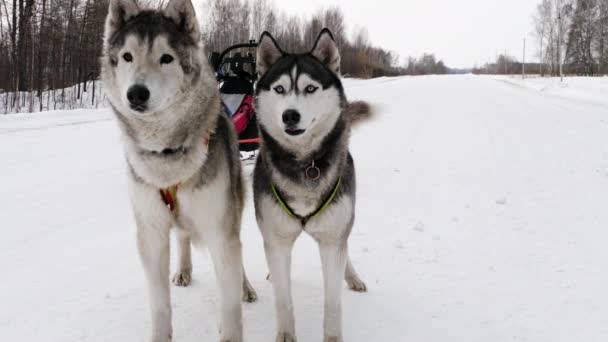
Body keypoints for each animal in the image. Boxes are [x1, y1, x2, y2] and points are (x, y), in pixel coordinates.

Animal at [101, 0, 256, 342]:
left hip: (234, 209)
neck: (167, 154)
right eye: (127, 56)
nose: (136, 93)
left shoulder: (220, 230)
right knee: (183, 236)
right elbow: (159, 304)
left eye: (166, 58)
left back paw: (245, 287)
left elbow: (230, 305)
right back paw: (184, 270)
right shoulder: (151, 234)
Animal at [253, 30, 368, 342]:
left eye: (310, 88)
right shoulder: (277, 239)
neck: (305, 164)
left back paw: (353, 276)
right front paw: (285, 334)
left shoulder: (332, 239)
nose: (290, 115)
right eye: (280, 89)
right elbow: (283, 298)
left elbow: (332, 303)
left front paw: (332, 337)